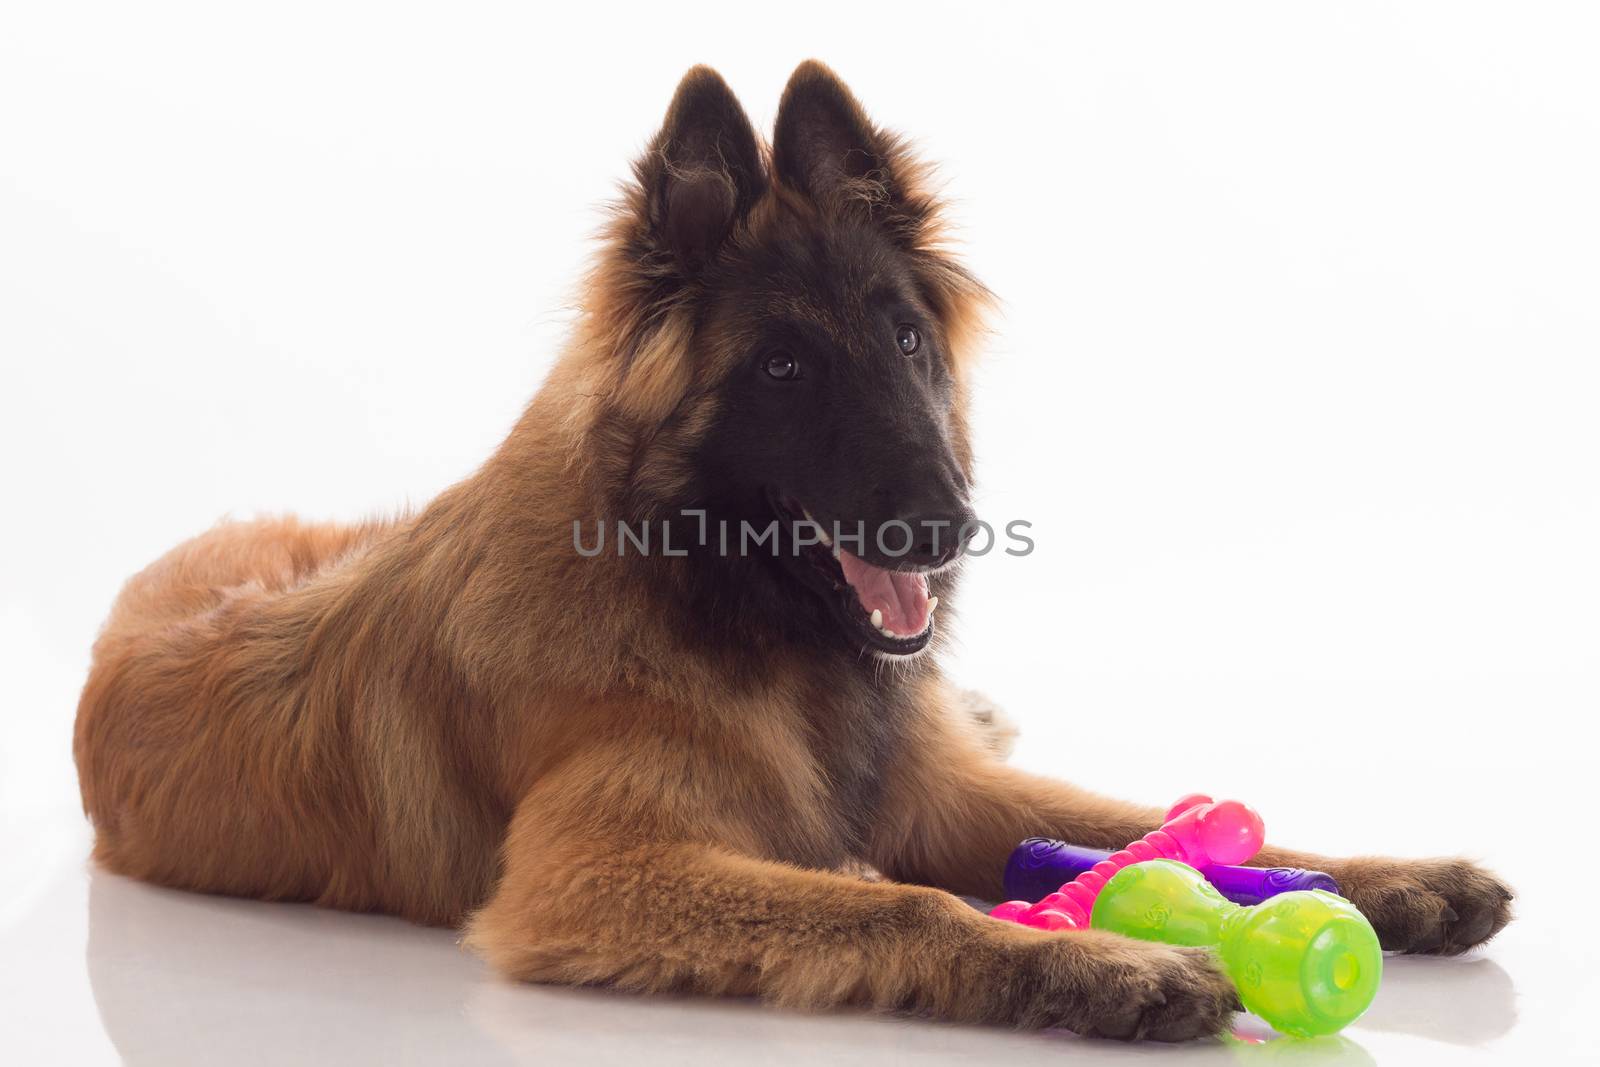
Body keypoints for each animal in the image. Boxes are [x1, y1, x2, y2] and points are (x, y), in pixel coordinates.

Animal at [75, 62, 1510, 1036]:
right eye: (781, 368)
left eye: (909, 340)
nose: (947, 528)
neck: (704, 594)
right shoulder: (591, 875)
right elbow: (900, 899)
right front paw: (1108, 965)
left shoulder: (936, 791)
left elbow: (1148, 818)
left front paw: (1397, 878)